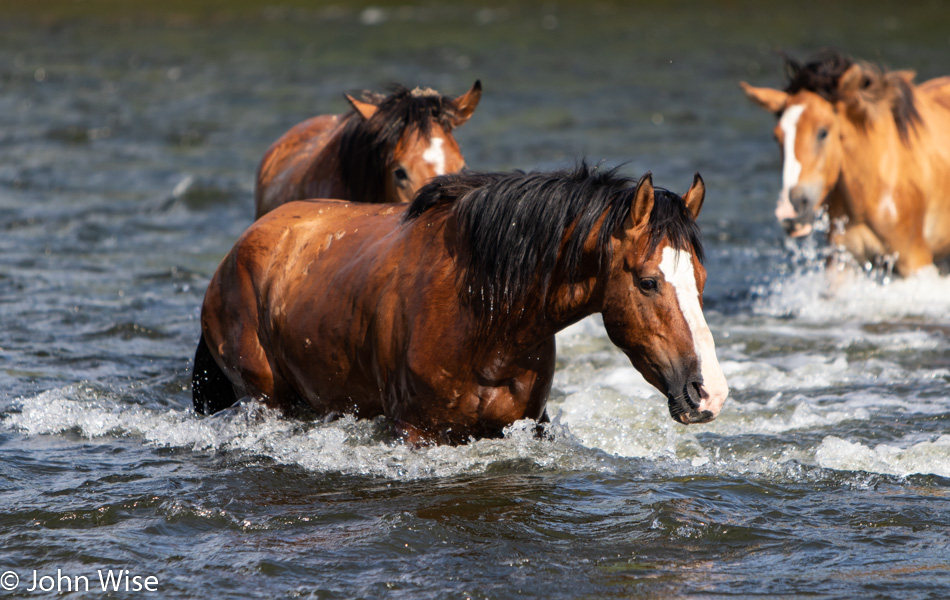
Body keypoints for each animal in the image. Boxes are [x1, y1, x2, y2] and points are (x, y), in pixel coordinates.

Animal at [193, 164, 728, 446]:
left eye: (701, 281)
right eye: (648, 281)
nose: (710, 393)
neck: (481, 315)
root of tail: (237, 251)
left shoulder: (520, 426)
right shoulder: (414, 431)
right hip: (266, 401)